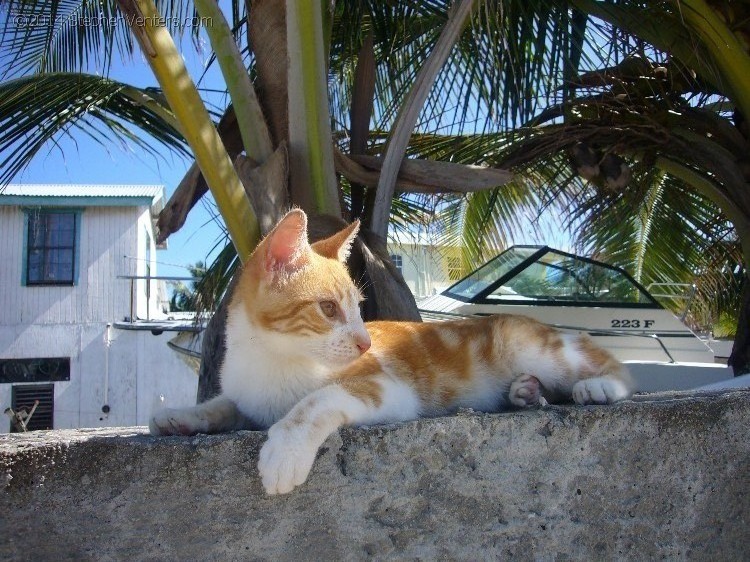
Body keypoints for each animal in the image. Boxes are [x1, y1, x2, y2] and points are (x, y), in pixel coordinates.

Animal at [150, 210, 632, 494]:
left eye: (360, 309)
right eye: (329, 308)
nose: (364, 342)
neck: (271, 360)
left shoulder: (389, 388)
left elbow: (315, 402)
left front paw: (284, 451)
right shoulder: (245, 397)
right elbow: (222, 404)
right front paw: (180, 416)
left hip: (534, 347)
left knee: (614, 368)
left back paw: (598, 388)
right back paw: (526, 392)